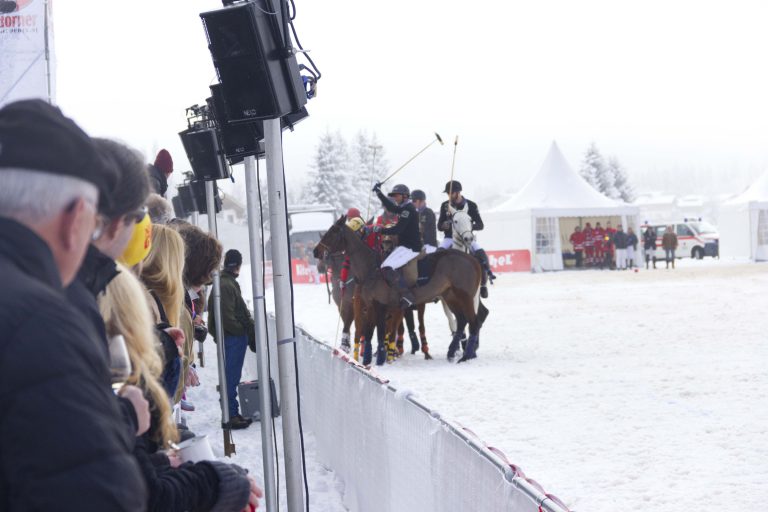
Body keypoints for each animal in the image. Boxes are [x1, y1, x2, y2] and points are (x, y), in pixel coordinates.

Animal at [312, 216, 480, 364]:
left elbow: (380, 332)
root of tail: (472, 260)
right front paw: (367, 359)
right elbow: (369, 331)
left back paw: (466, 355)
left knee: (473, 321)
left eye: (332, 232)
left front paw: (381, 359)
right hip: (450, 296)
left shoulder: (381, 305)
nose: (315, 251)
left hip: (465, 296)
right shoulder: (369, 304)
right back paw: (452, 352)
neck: (371, 268)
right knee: (461, 321)